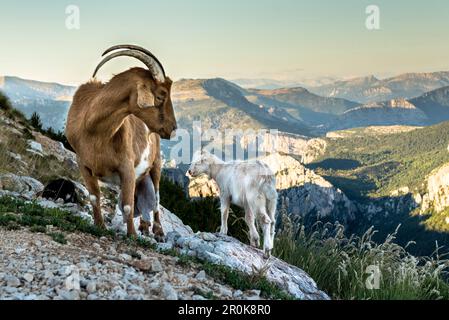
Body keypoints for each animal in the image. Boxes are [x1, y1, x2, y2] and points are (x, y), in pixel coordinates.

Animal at [65, 45, 176, 238]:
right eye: (161, 95)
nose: (173, 128)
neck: (94, 129)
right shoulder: (83, 164)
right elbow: (95, 197)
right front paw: (100, 226)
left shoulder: (127, 167)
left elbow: (127, 205)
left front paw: (131, 235)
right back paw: (144, 226)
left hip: (156, 164)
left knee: (156, 197)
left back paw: (158, 231)